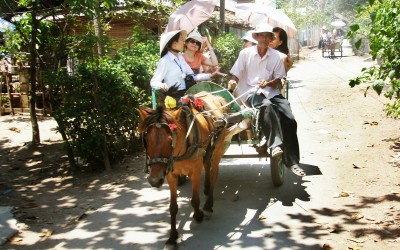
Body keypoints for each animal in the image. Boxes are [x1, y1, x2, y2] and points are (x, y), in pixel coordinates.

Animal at [139, 91, 230, 246]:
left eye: (170, 141)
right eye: (146, 140)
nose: (154, 181)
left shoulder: (195, 171)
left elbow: (195, 200)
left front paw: (198, 215)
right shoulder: (170, 175)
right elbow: (173, 207)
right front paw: (172, 237)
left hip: (218, 148)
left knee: (214, 173)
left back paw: (208, 206)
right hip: (208, 149)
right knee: (207, 165)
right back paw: (206, 189)